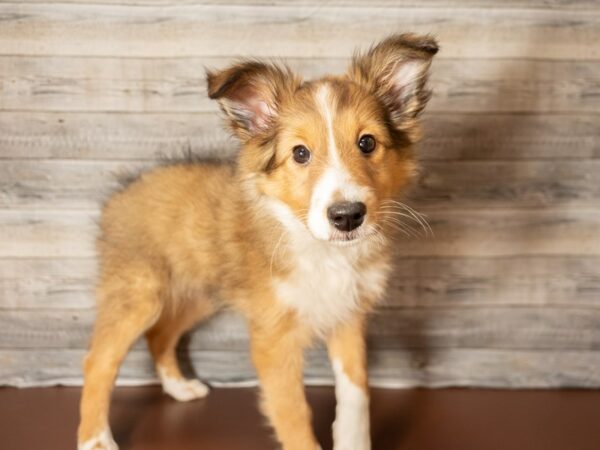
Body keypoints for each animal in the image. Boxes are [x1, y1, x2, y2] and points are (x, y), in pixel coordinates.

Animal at [77, 32, 438, 450]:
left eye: (367, 143)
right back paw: (94, 439)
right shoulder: (273, 339)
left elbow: (356, 396)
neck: (322, 251)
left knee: (159, 336)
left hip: (198, 294)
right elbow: (294, 415)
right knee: (98, 360)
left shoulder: (348, 319)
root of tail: (124, 192)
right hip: (140, 296)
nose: (348, 216)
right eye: (300, 153)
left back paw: (180, 388)